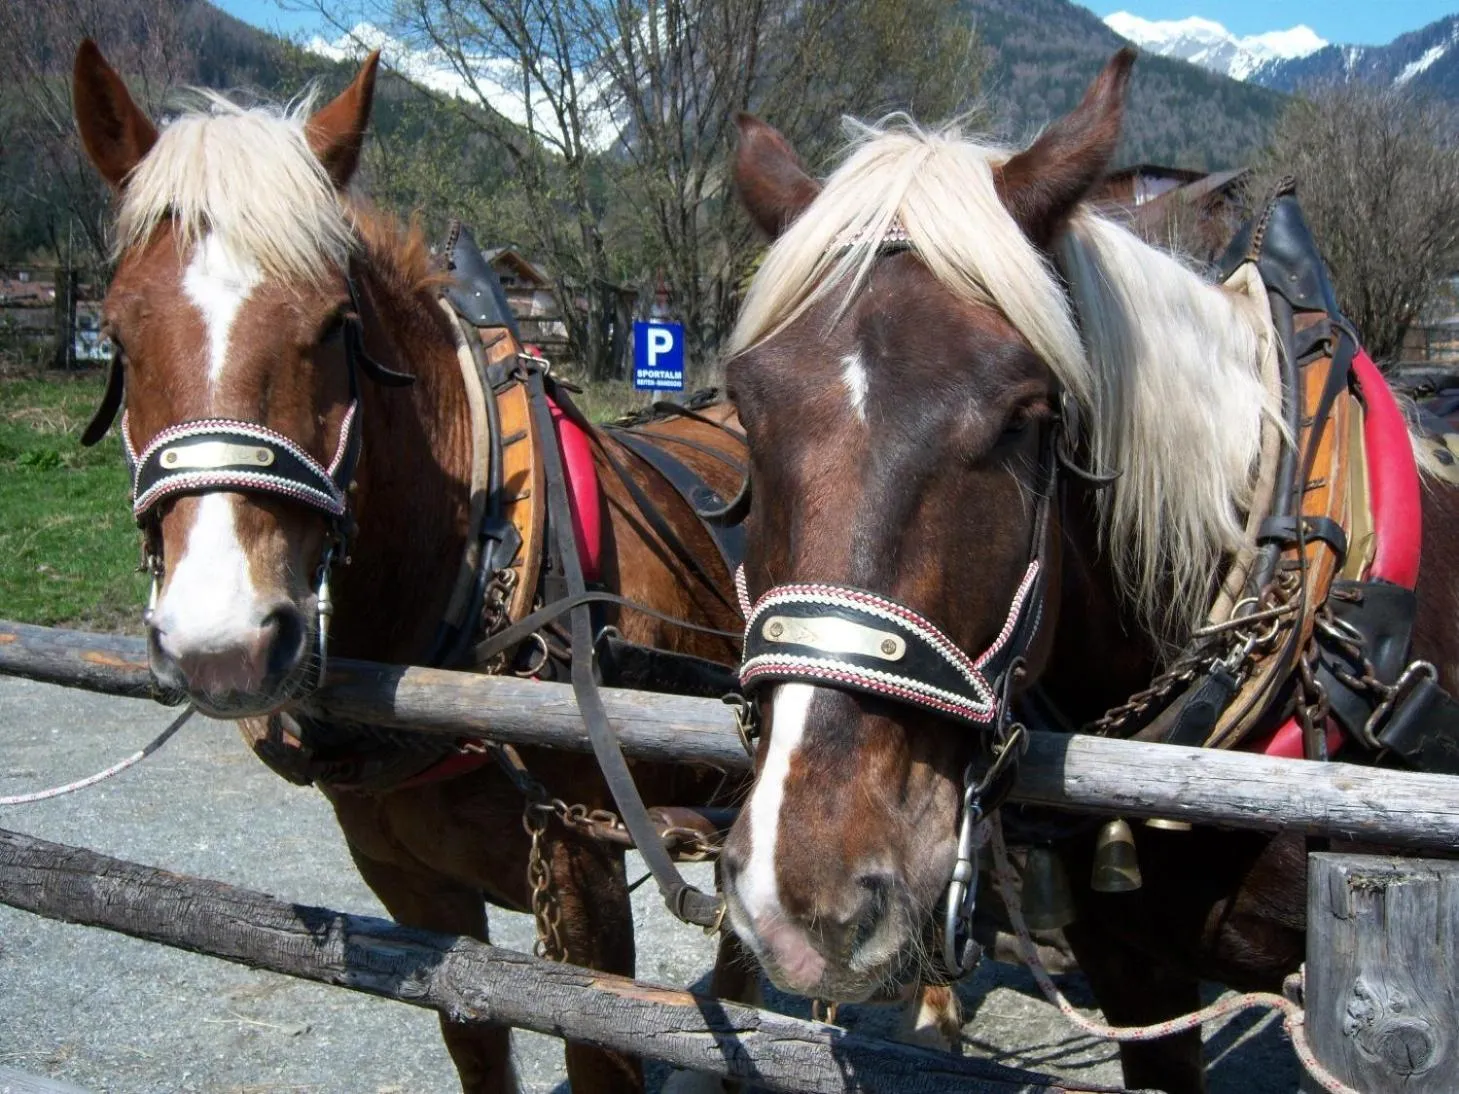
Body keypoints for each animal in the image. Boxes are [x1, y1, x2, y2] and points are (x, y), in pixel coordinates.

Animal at [71, 41, 752, 1094]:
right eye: (116, 330)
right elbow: (475, 1039)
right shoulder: (408, 883)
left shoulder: (585, 887)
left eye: (331, 325)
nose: (222, 645)